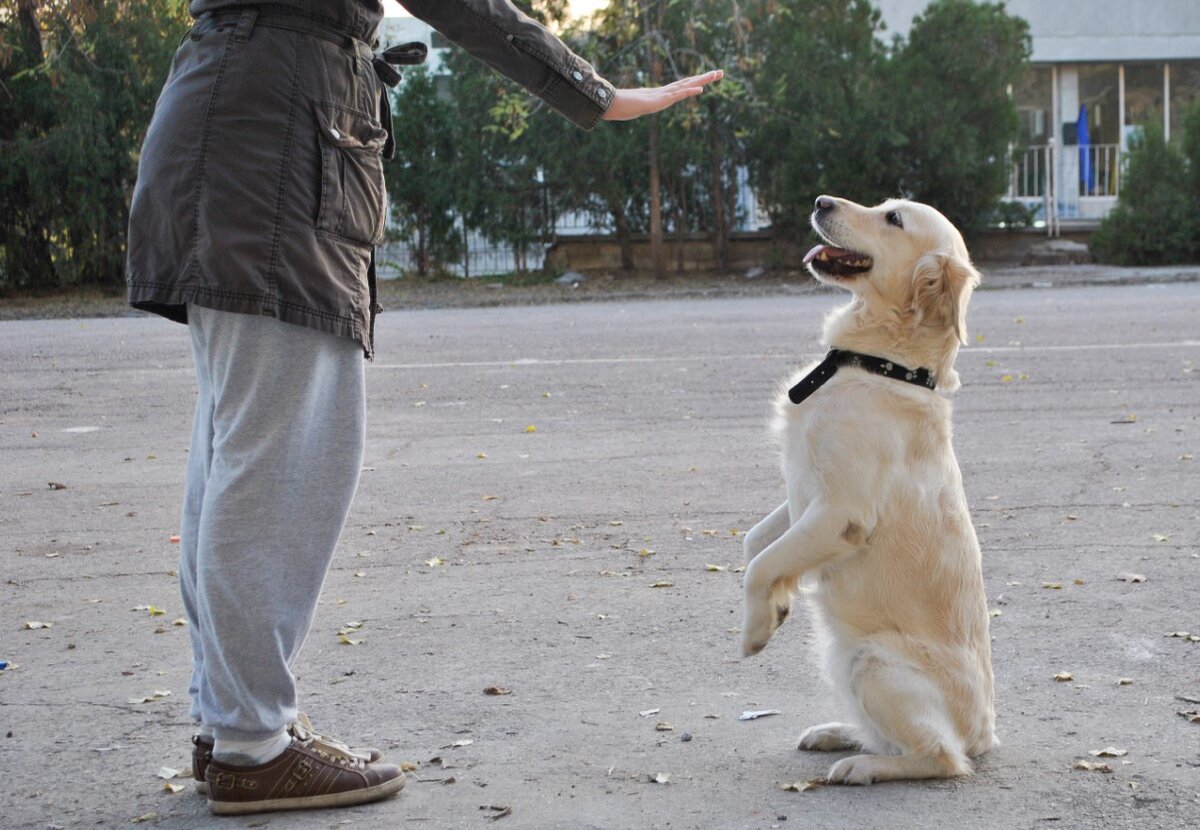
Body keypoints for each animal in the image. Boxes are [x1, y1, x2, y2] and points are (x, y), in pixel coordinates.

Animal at [744, 193, 998, 786]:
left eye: (893, 219)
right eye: (884, 203)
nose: (820, 201)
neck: (883, 365)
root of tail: (984, 735)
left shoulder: (840, 511)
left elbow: (759, 564)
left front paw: (757, 628)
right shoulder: (801, 492)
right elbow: (757, 544)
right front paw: (777, 603)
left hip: (872, 661)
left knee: (941, 758)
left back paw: (861, 766)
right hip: (840, 662)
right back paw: (836, 733)